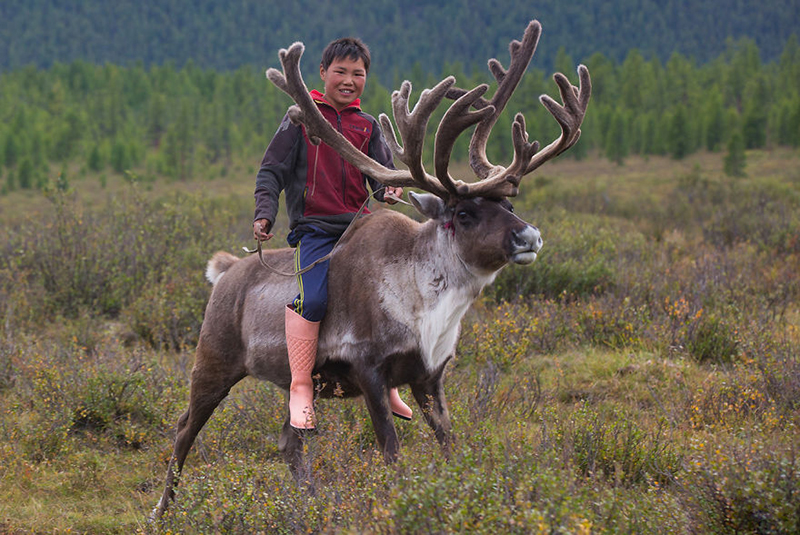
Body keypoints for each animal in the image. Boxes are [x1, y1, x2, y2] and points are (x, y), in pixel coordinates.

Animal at [154, 19, 590, 518]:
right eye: (464, 213)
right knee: (185, 427)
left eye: (509, 204)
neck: (428, 307)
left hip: (297, 385)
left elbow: (450, 442)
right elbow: (391, 449)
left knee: (289, 440)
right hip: (214, 359)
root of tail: (225, 271)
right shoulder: (367, 368)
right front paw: (403, 503)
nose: (529, 237)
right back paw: (161, 510)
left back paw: (310, 505)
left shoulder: (430, 375)